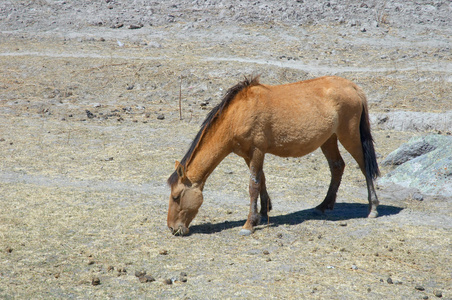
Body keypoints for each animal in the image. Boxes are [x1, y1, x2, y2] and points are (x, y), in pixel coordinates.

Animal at [168, 76, 380, 236]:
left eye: (176, 196)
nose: (172, 228)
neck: (237, 115)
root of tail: (353, 87)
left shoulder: (256, 151)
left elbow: (253, 185)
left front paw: (249, 224)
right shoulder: (248, 155)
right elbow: (261, 180)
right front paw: (262, 212)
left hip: (349, 136)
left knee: (364, 167)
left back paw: (373, 209)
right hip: (329, 139)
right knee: (337, 166)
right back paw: (323, 206)